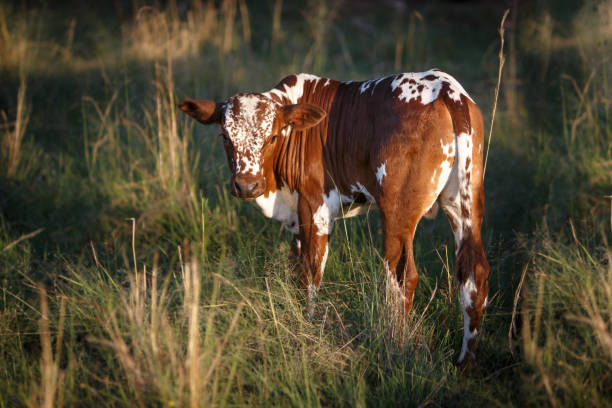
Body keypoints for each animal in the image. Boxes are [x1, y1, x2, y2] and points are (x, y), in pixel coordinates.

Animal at [179, 70, 490, 364]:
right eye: (225, 137)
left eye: (272, 137)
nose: (246, 185)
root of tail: (445, 88)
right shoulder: (298, 217)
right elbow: (295, 269)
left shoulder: (314, 207)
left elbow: (310, 273)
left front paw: (306, 326)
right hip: (465, 205)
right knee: (474, 272)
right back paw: (466, 362)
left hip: (397, 211)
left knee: (402, 276)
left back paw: (395, 345)